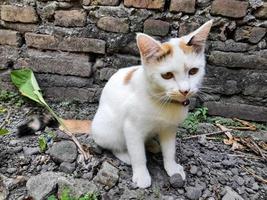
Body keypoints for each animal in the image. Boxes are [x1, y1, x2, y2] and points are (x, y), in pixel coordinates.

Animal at [18, 20, 214, 189]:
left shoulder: (169, 128)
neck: (163, 102)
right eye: (167, 75)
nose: (185, 90)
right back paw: (126, 155)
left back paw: (152, 144)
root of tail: (93, 123)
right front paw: (141, 174)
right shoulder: (132, 128)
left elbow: (169, 150)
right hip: (111, 128)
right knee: (115, 146)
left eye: (193, 71)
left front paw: (172, 167)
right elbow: (138, 154)